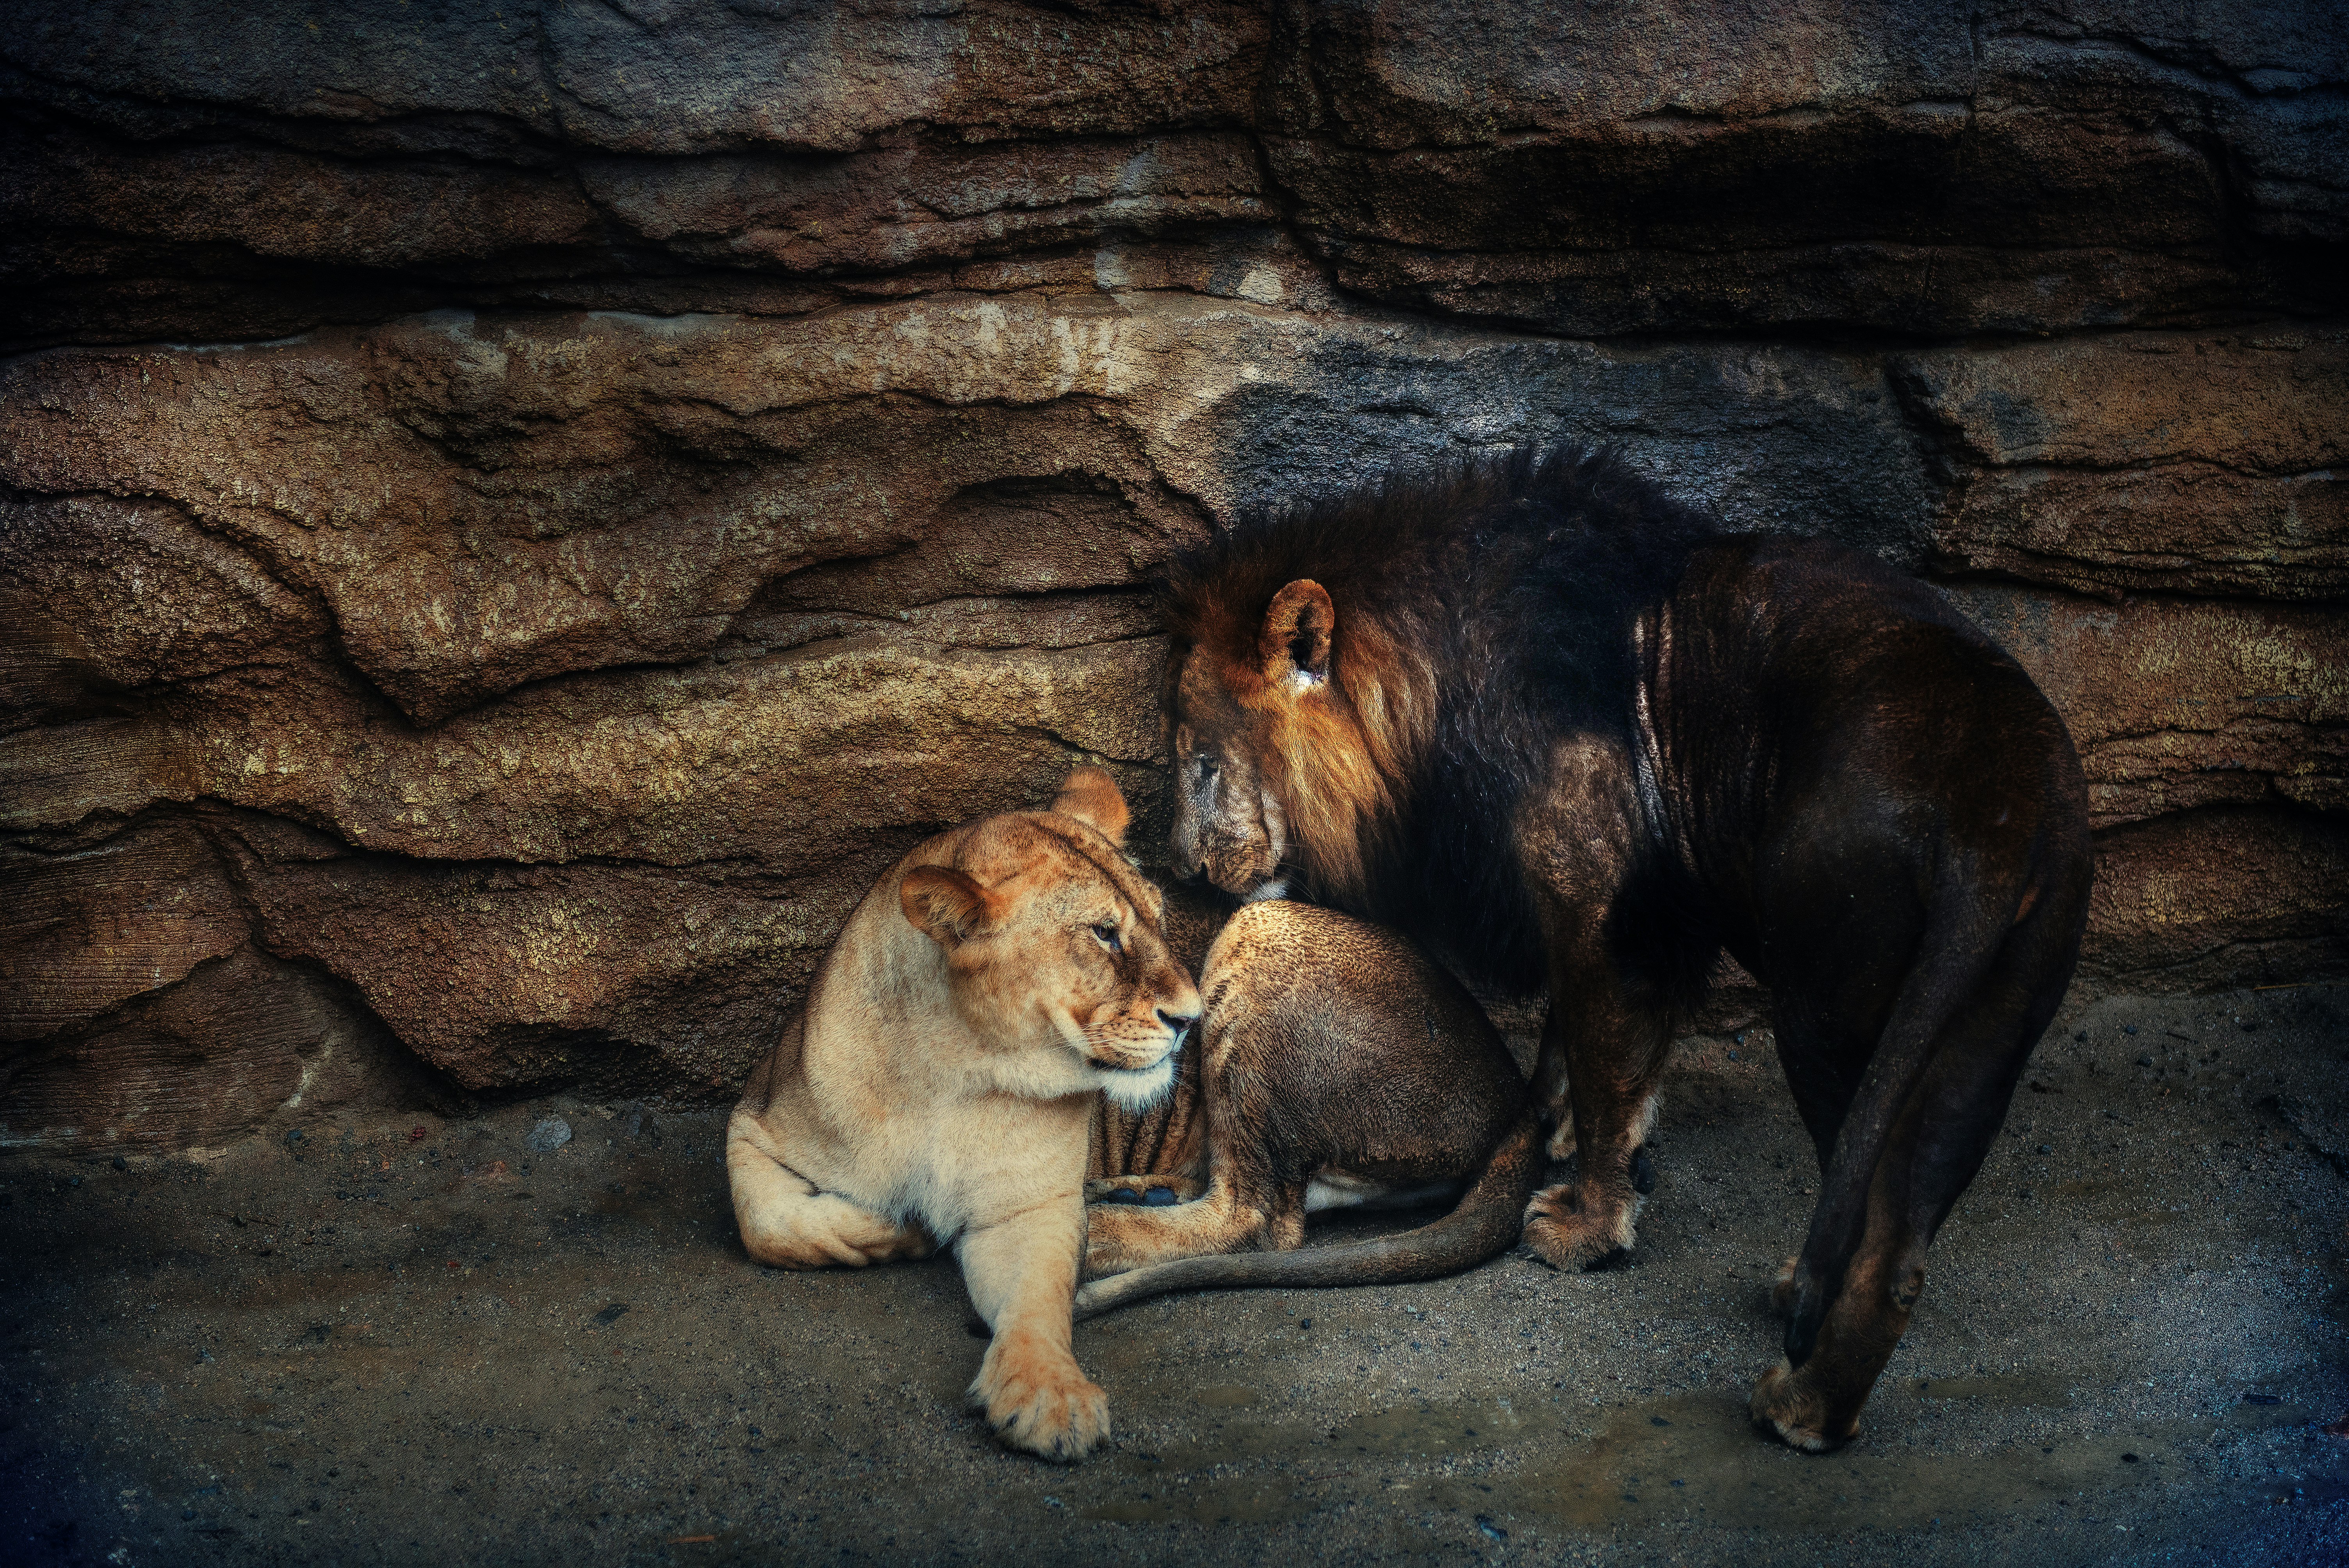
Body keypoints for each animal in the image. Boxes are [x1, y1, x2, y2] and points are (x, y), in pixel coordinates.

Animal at [1155, 446, 2095, 1455]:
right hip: (1985, 1030)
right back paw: (1809, 1364)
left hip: (1827, 1009)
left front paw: (1587, 1225)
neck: (1431, 680)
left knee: (1874, 1223)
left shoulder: (1598, 889)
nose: (1179, 865)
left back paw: (1797, 1404)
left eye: (1201, 761)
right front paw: (1546, 1128)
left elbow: (1609, 1069)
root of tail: (1995, 804)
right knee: (1904, 1244)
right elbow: (1567, 1042)